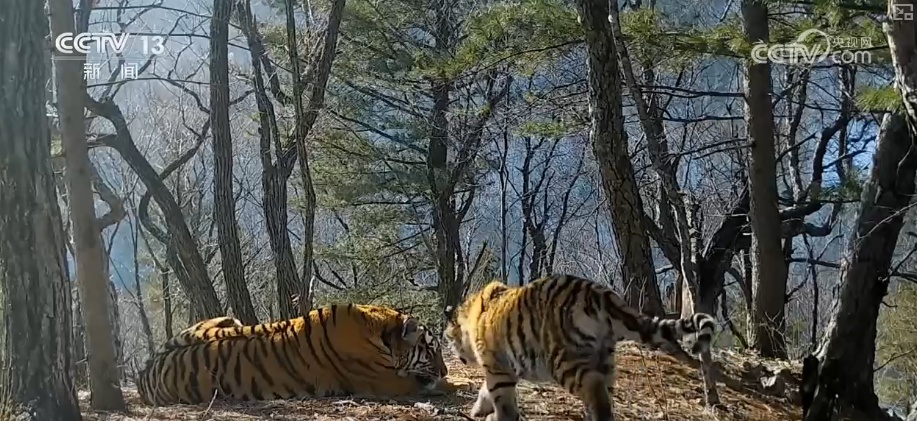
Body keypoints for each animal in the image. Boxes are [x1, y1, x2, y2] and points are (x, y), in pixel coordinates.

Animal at [137, 303, 453, 406]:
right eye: (431, 349)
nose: (445, 370)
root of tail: (143, 371)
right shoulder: (387, 382)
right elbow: (439, 385)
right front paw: (453, 382)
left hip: (224, 320)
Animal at [443, 274, 717, 421]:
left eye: (449, 338)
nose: (458, 356)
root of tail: (602, 295)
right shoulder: (504, 368)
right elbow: (485, 390)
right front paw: (479, 409)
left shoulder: (498, 368)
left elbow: (501, 400)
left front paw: (492, 415)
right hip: (604, 358)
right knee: (603, 395)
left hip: (564, 360)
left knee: (595, 392)